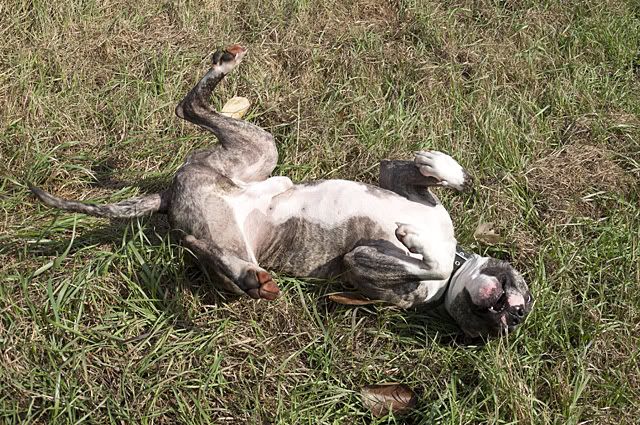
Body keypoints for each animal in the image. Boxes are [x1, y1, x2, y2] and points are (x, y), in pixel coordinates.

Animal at [31, 44, 533, 338]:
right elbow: (438, 177)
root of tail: (169, 196)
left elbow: (427, 263)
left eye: (510, 320)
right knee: (188, 106)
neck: (456, 266)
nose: (507, 312)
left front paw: (414, 240)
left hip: (234, 225)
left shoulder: (365, 268)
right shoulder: (398, 182)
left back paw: (249, 277)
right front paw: (440, 165)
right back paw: (226, 62)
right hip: (259, 151)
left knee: (212, 254)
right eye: (520, 303)